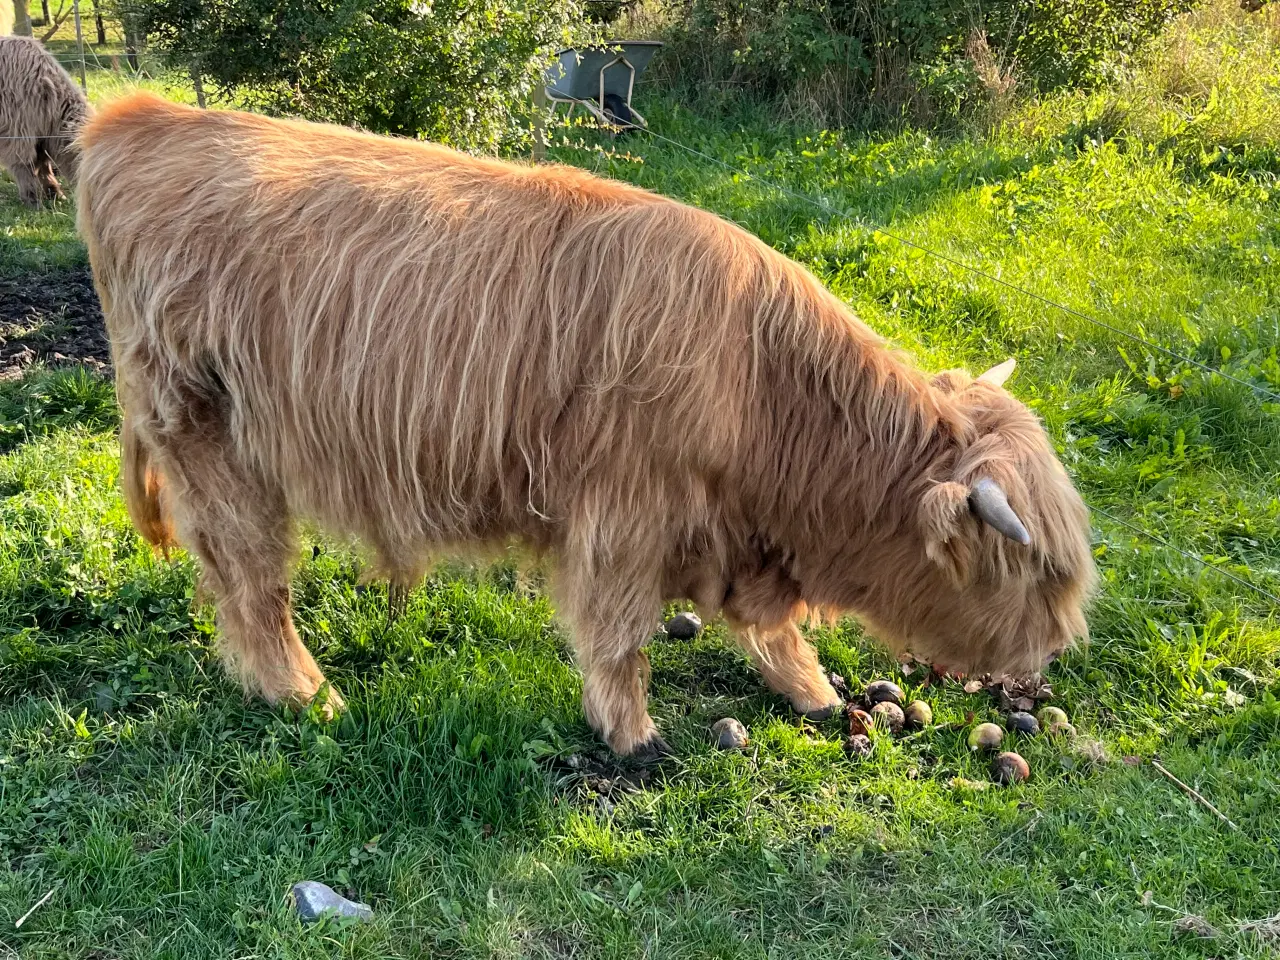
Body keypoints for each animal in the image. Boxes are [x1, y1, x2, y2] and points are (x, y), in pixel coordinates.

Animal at [0, 36, 88, 207]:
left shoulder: (41, 135)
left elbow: (43, 164)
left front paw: (55, 193)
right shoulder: (17, 130)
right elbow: (25, 164)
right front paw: (32, 199)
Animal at [74, 96, 1095, 757]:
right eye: (1034, 571)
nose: (1052, 657)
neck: (769, 395)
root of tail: (135, 119)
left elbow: (771, 633)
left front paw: (810, 692)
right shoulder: (623, 513)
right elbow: (617, 635)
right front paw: (634, 737)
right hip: (206, 433)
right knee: (251, 577)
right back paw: (306, 695)